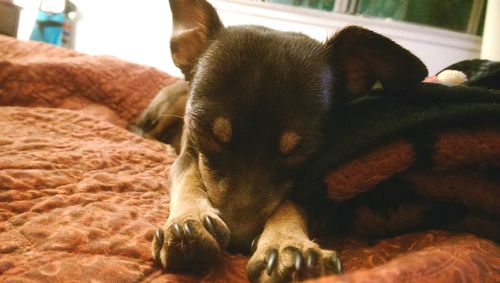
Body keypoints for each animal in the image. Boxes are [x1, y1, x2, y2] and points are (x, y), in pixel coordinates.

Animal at [137, 1, 426, 282]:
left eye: (303, 151)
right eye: (206, 134)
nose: (238, 242)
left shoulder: (315, 183)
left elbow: (291, 202)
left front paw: (288, 245)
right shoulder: (187, 156)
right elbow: (189, 178)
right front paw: (188, 221)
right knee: (141, 129)